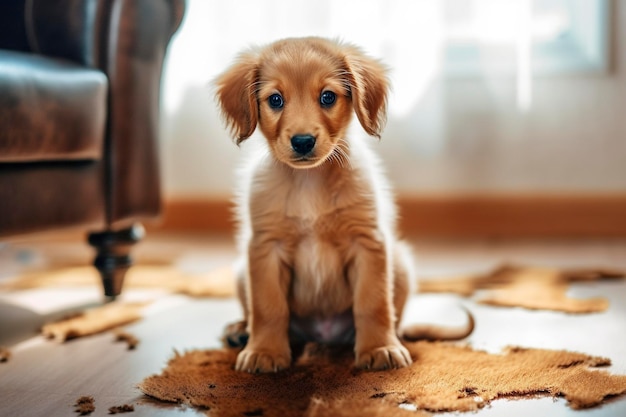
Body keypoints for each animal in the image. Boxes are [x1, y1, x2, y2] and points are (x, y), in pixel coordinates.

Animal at [213, 37, 468, 372]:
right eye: (276, 100)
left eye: (328, 96)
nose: (303, 141)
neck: (309, 183)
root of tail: (321, 336)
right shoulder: (266, 248)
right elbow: (268, 308)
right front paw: (264, 351)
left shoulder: (367, 243)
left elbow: (373, 304)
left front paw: (380, 347)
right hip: (243, 270)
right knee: (253, 314)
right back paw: (240, 331)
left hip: (400, 263)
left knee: (394, 319)